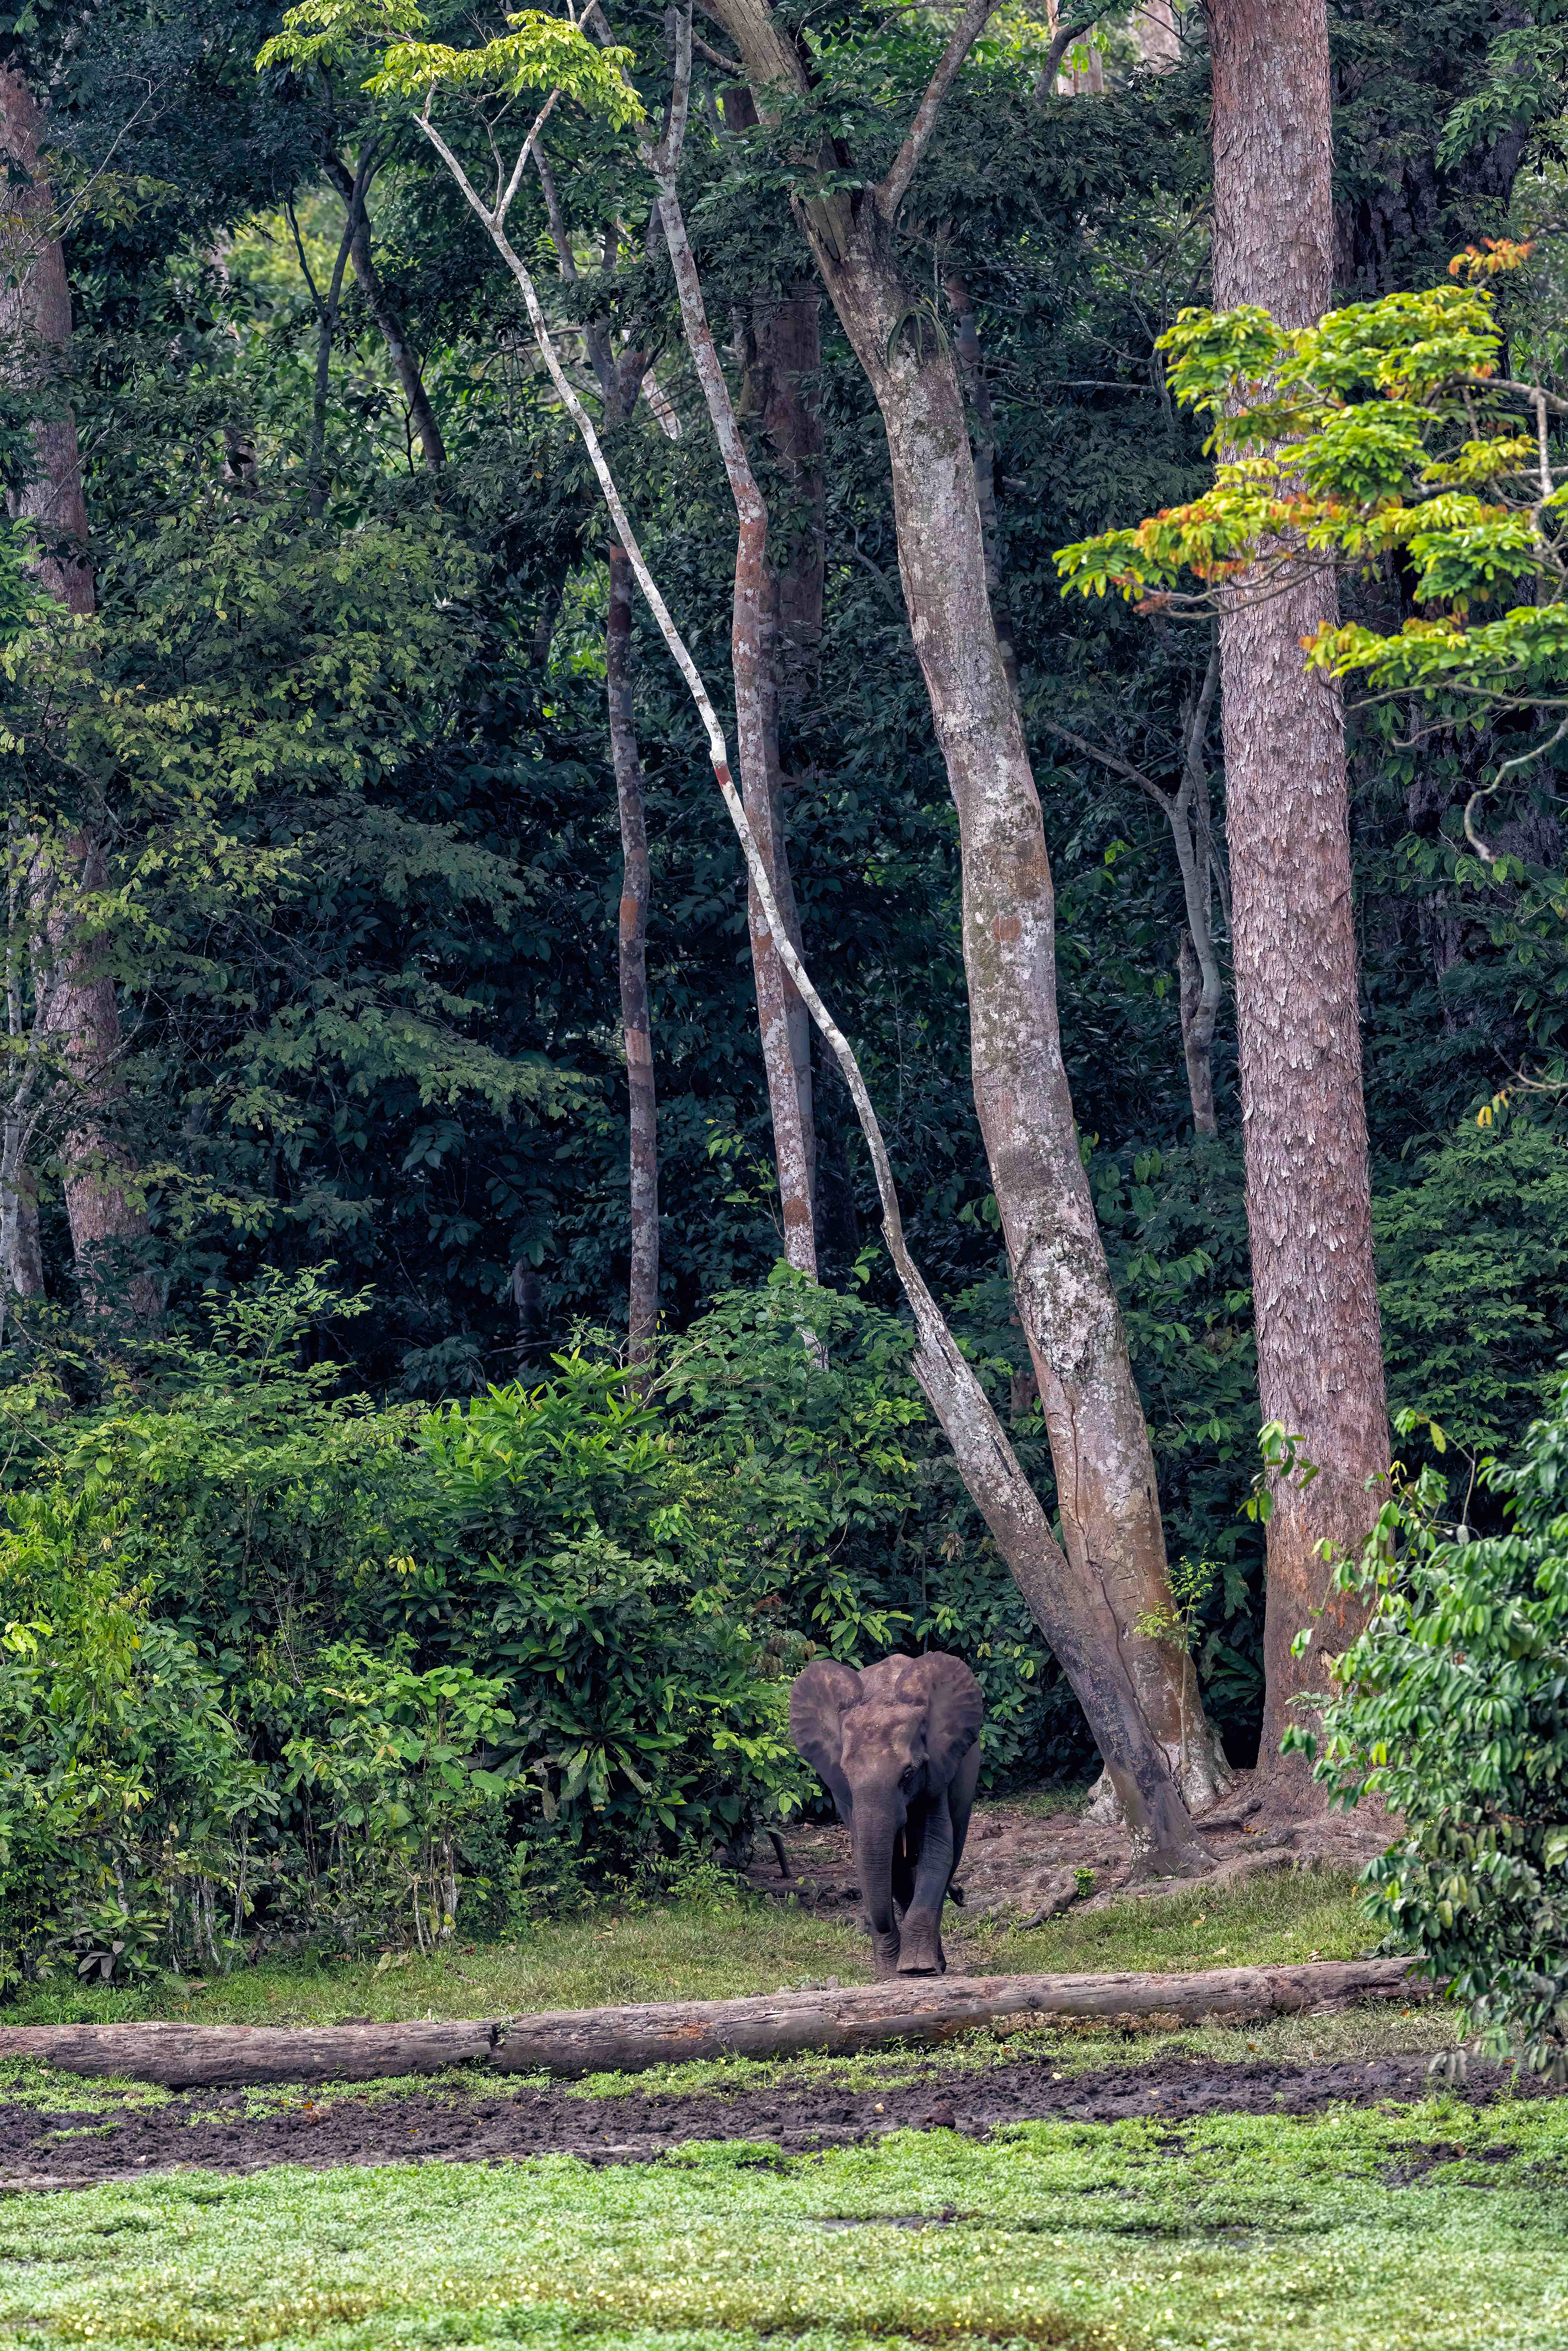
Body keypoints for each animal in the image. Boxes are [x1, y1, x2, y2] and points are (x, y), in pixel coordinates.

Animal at [789, 1651, 982, 1979]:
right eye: (845, 1774)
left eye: (908, 1774)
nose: (963, 1895)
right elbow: (869, 1858)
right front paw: (891, 1974)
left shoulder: (938, 1770)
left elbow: (938, 1851)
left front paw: (918, 1969)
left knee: (950, 1853)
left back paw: (934, 1964)